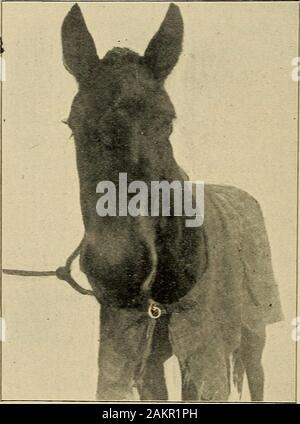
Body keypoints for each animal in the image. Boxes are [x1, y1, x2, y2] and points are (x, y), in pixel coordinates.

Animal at [61, 3, 284, 400]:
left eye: (166, 122)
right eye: (73, 125)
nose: (115, 268)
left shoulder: (203, 354)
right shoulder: (138, 353)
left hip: (254, 329)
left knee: (257, 377)